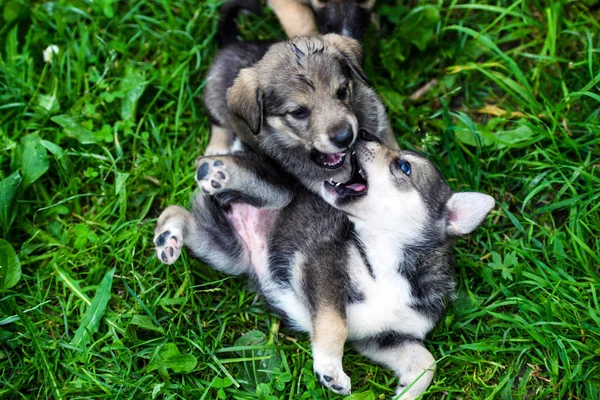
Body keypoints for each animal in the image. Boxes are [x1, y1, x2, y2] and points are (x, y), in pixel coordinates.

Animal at [152, 133, 494, 398]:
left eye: (404, 166)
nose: (362, 136)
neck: (386, 259)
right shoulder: (324, 267)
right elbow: (334, 325)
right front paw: (331, 370)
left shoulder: (383, 338)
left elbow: (426, 361)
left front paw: (406, 391)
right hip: (276, 195)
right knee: (247, 181)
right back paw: (216, 170)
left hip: (226, 251)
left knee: (179, 213)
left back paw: (169, 238)